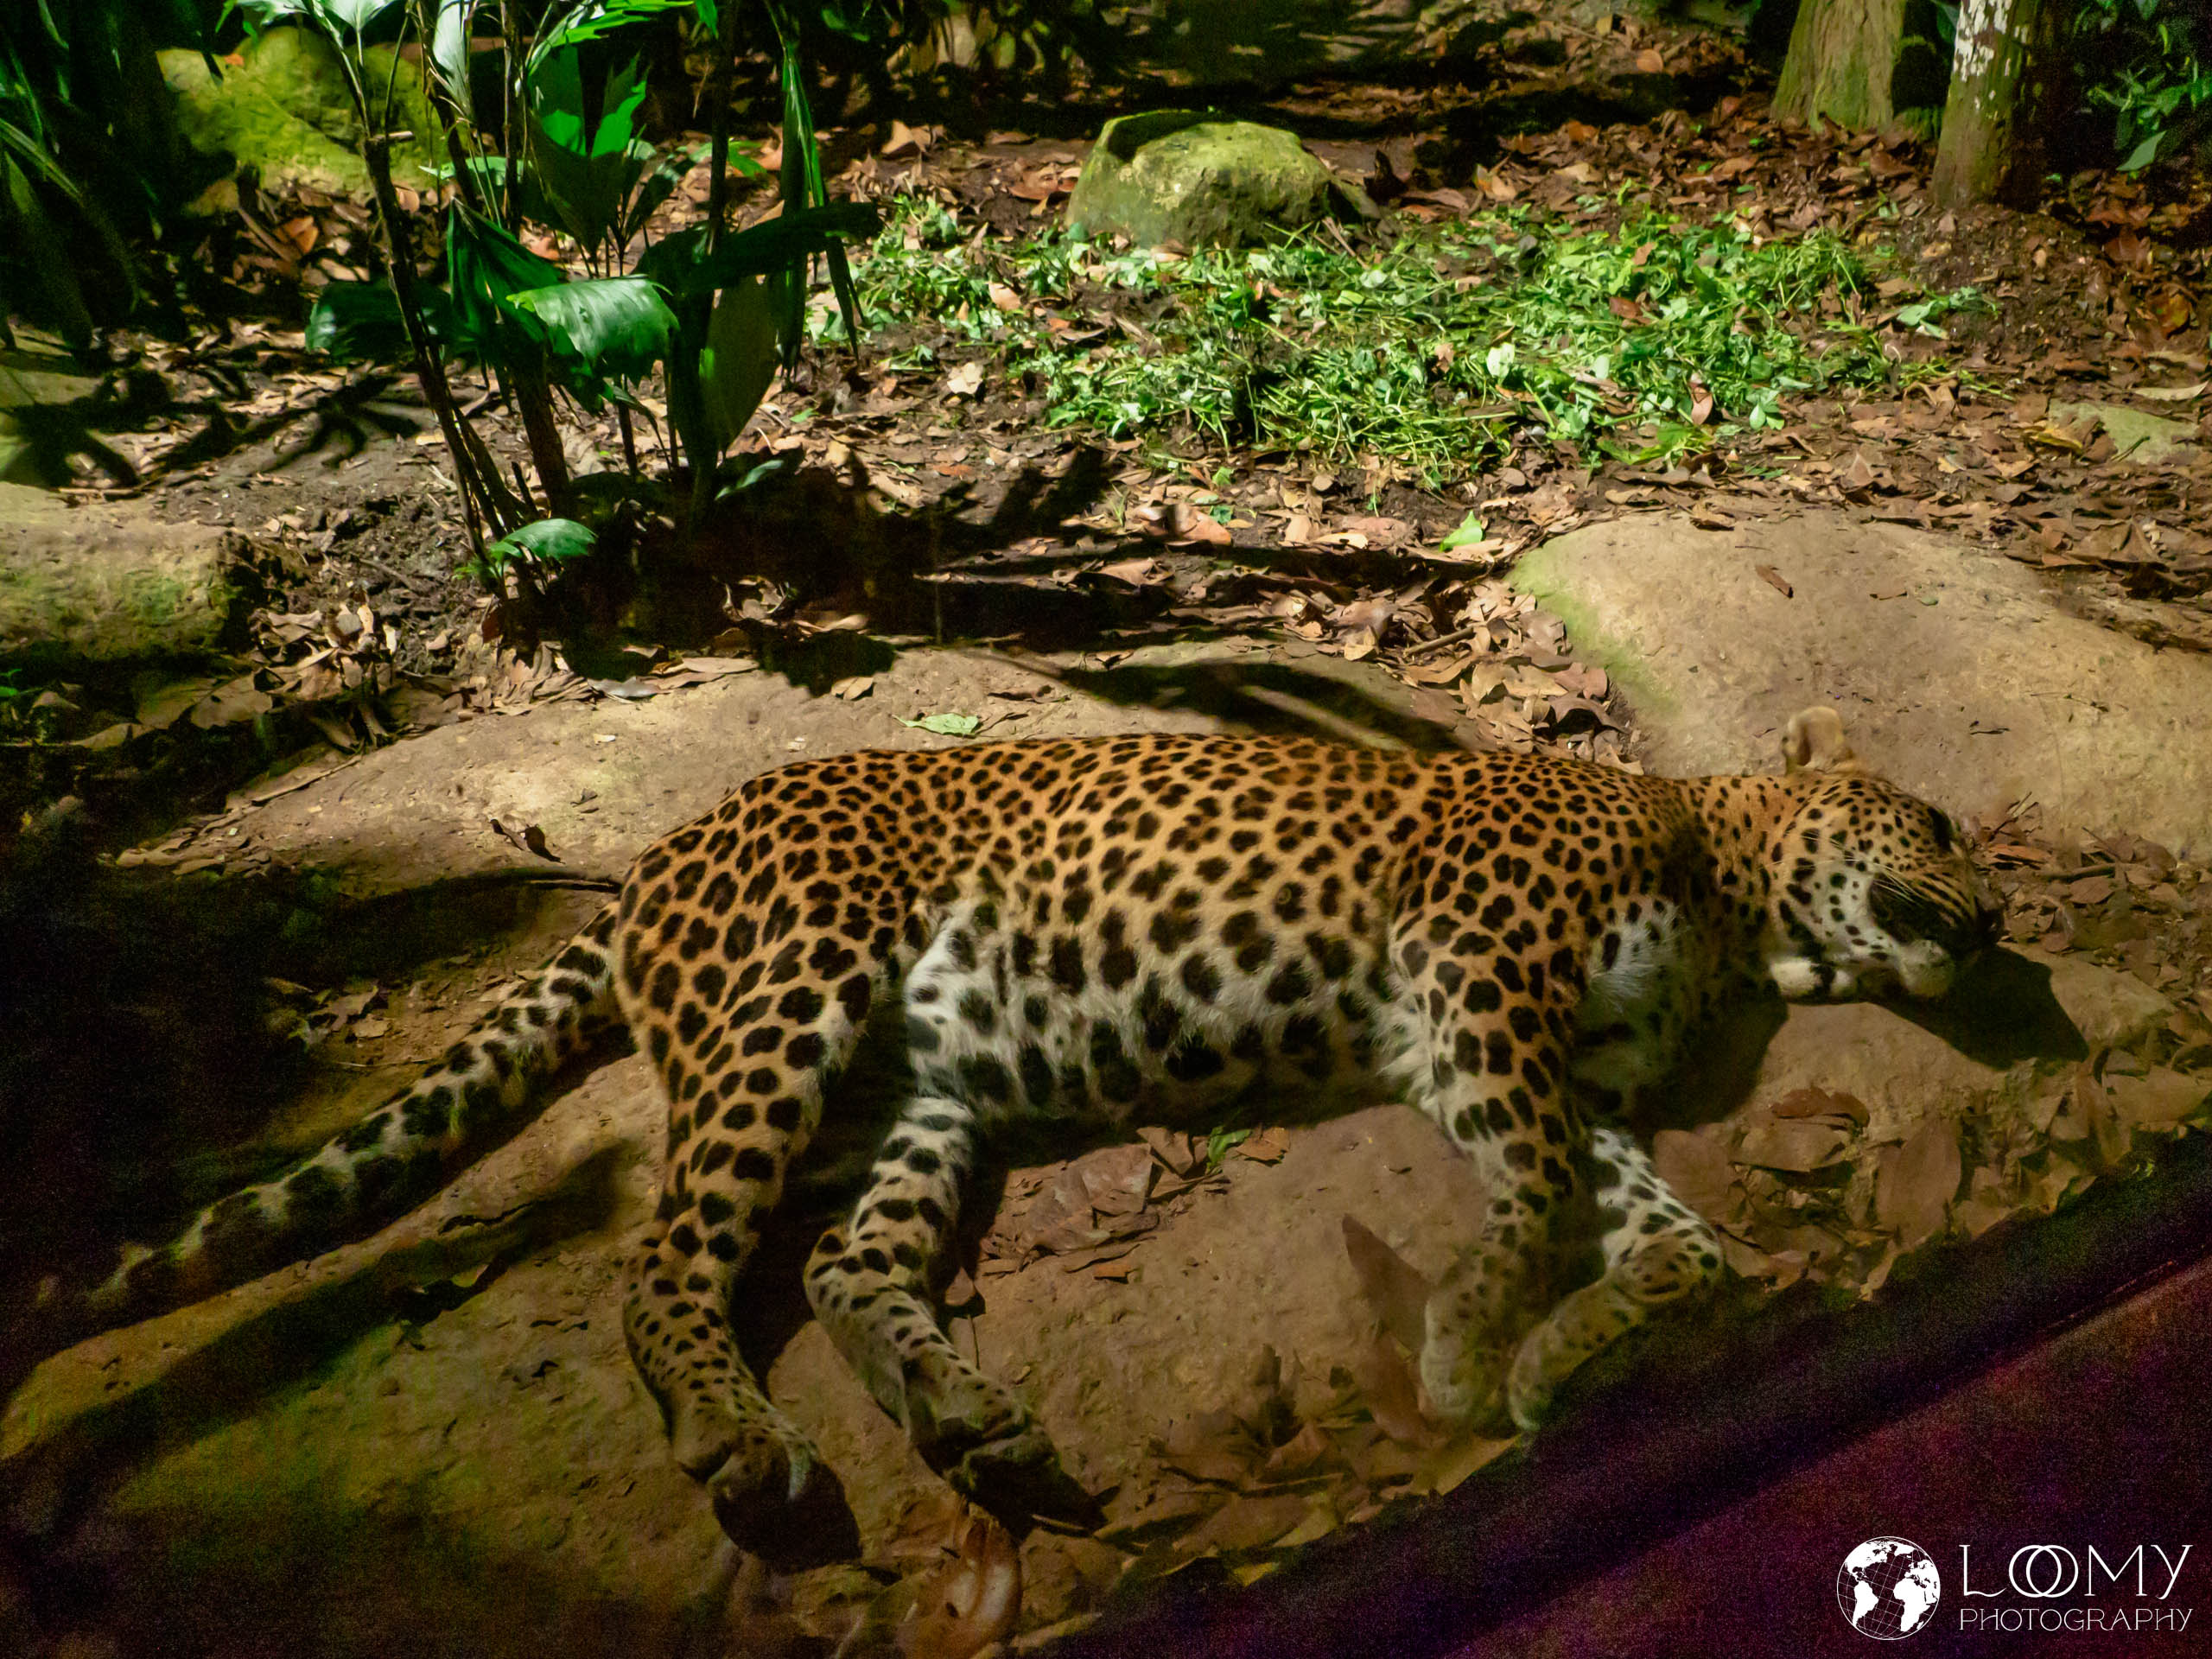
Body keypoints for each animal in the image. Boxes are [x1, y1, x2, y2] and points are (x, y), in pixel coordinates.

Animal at [28, 705, 2000, 1562]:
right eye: (1937, 821)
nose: (1994, 928)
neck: (1734, 906)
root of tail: (654, 855)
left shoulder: (1534, 1064)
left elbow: (1669, 1239)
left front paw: (1569, 1350)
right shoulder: (1471, 978)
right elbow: (1527, 1192)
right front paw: (1466, 1343)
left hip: (913, 1103)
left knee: (835, 1264)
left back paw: (962, 1418)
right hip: (791, 993)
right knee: (661, 1259)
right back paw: (743, 1445)